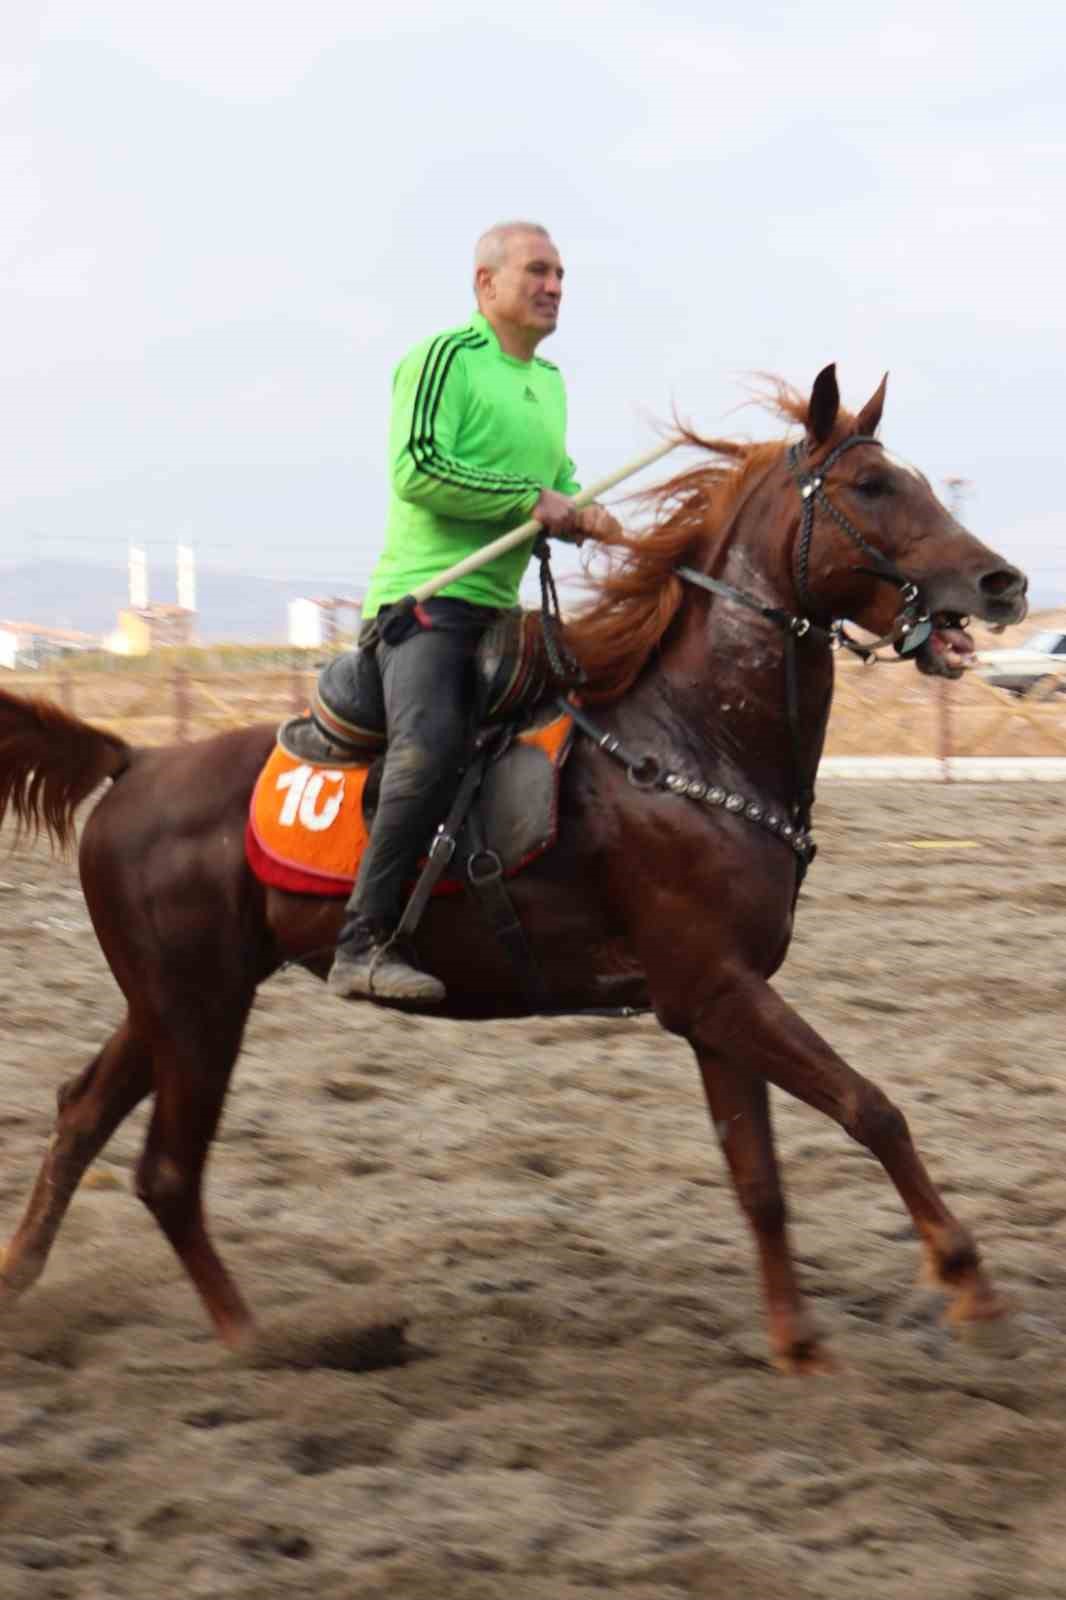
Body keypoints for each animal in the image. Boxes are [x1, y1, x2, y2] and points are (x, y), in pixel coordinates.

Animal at [2, 368, 1030, 1369]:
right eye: (873, 485)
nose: (1005, 581)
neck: (686, 744)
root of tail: (133, 762)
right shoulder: (716, 990)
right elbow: (873, 1109)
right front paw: (969, 1286)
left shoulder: (716, 1004)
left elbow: (760, 1180)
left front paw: (801, 1346)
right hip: (196, 1006)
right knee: (167, 1172)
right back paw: (264, 1343)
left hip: (176, 1001)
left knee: (83, 1114)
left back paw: (30, 1289)